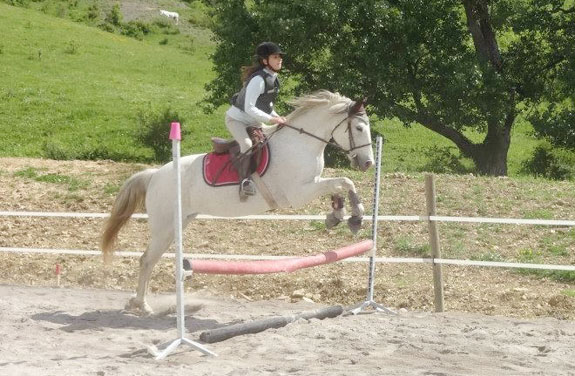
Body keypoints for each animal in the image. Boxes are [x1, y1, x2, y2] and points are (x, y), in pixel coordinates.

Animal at [101, 91, 376, 314]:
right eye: (359, 129)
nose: (368, 163)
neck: (302, 144)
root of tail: (154, 175)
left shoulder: (314, 182)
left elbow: (340, 185)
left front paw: (339, 216)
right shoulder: (298, 193)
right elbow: (344, 181)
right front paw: (355, 216)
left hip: (179, 223)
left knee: (152, 259)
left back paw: (139, 303)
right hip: (165, 226)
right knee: (147, 260)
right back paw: (142, 305)